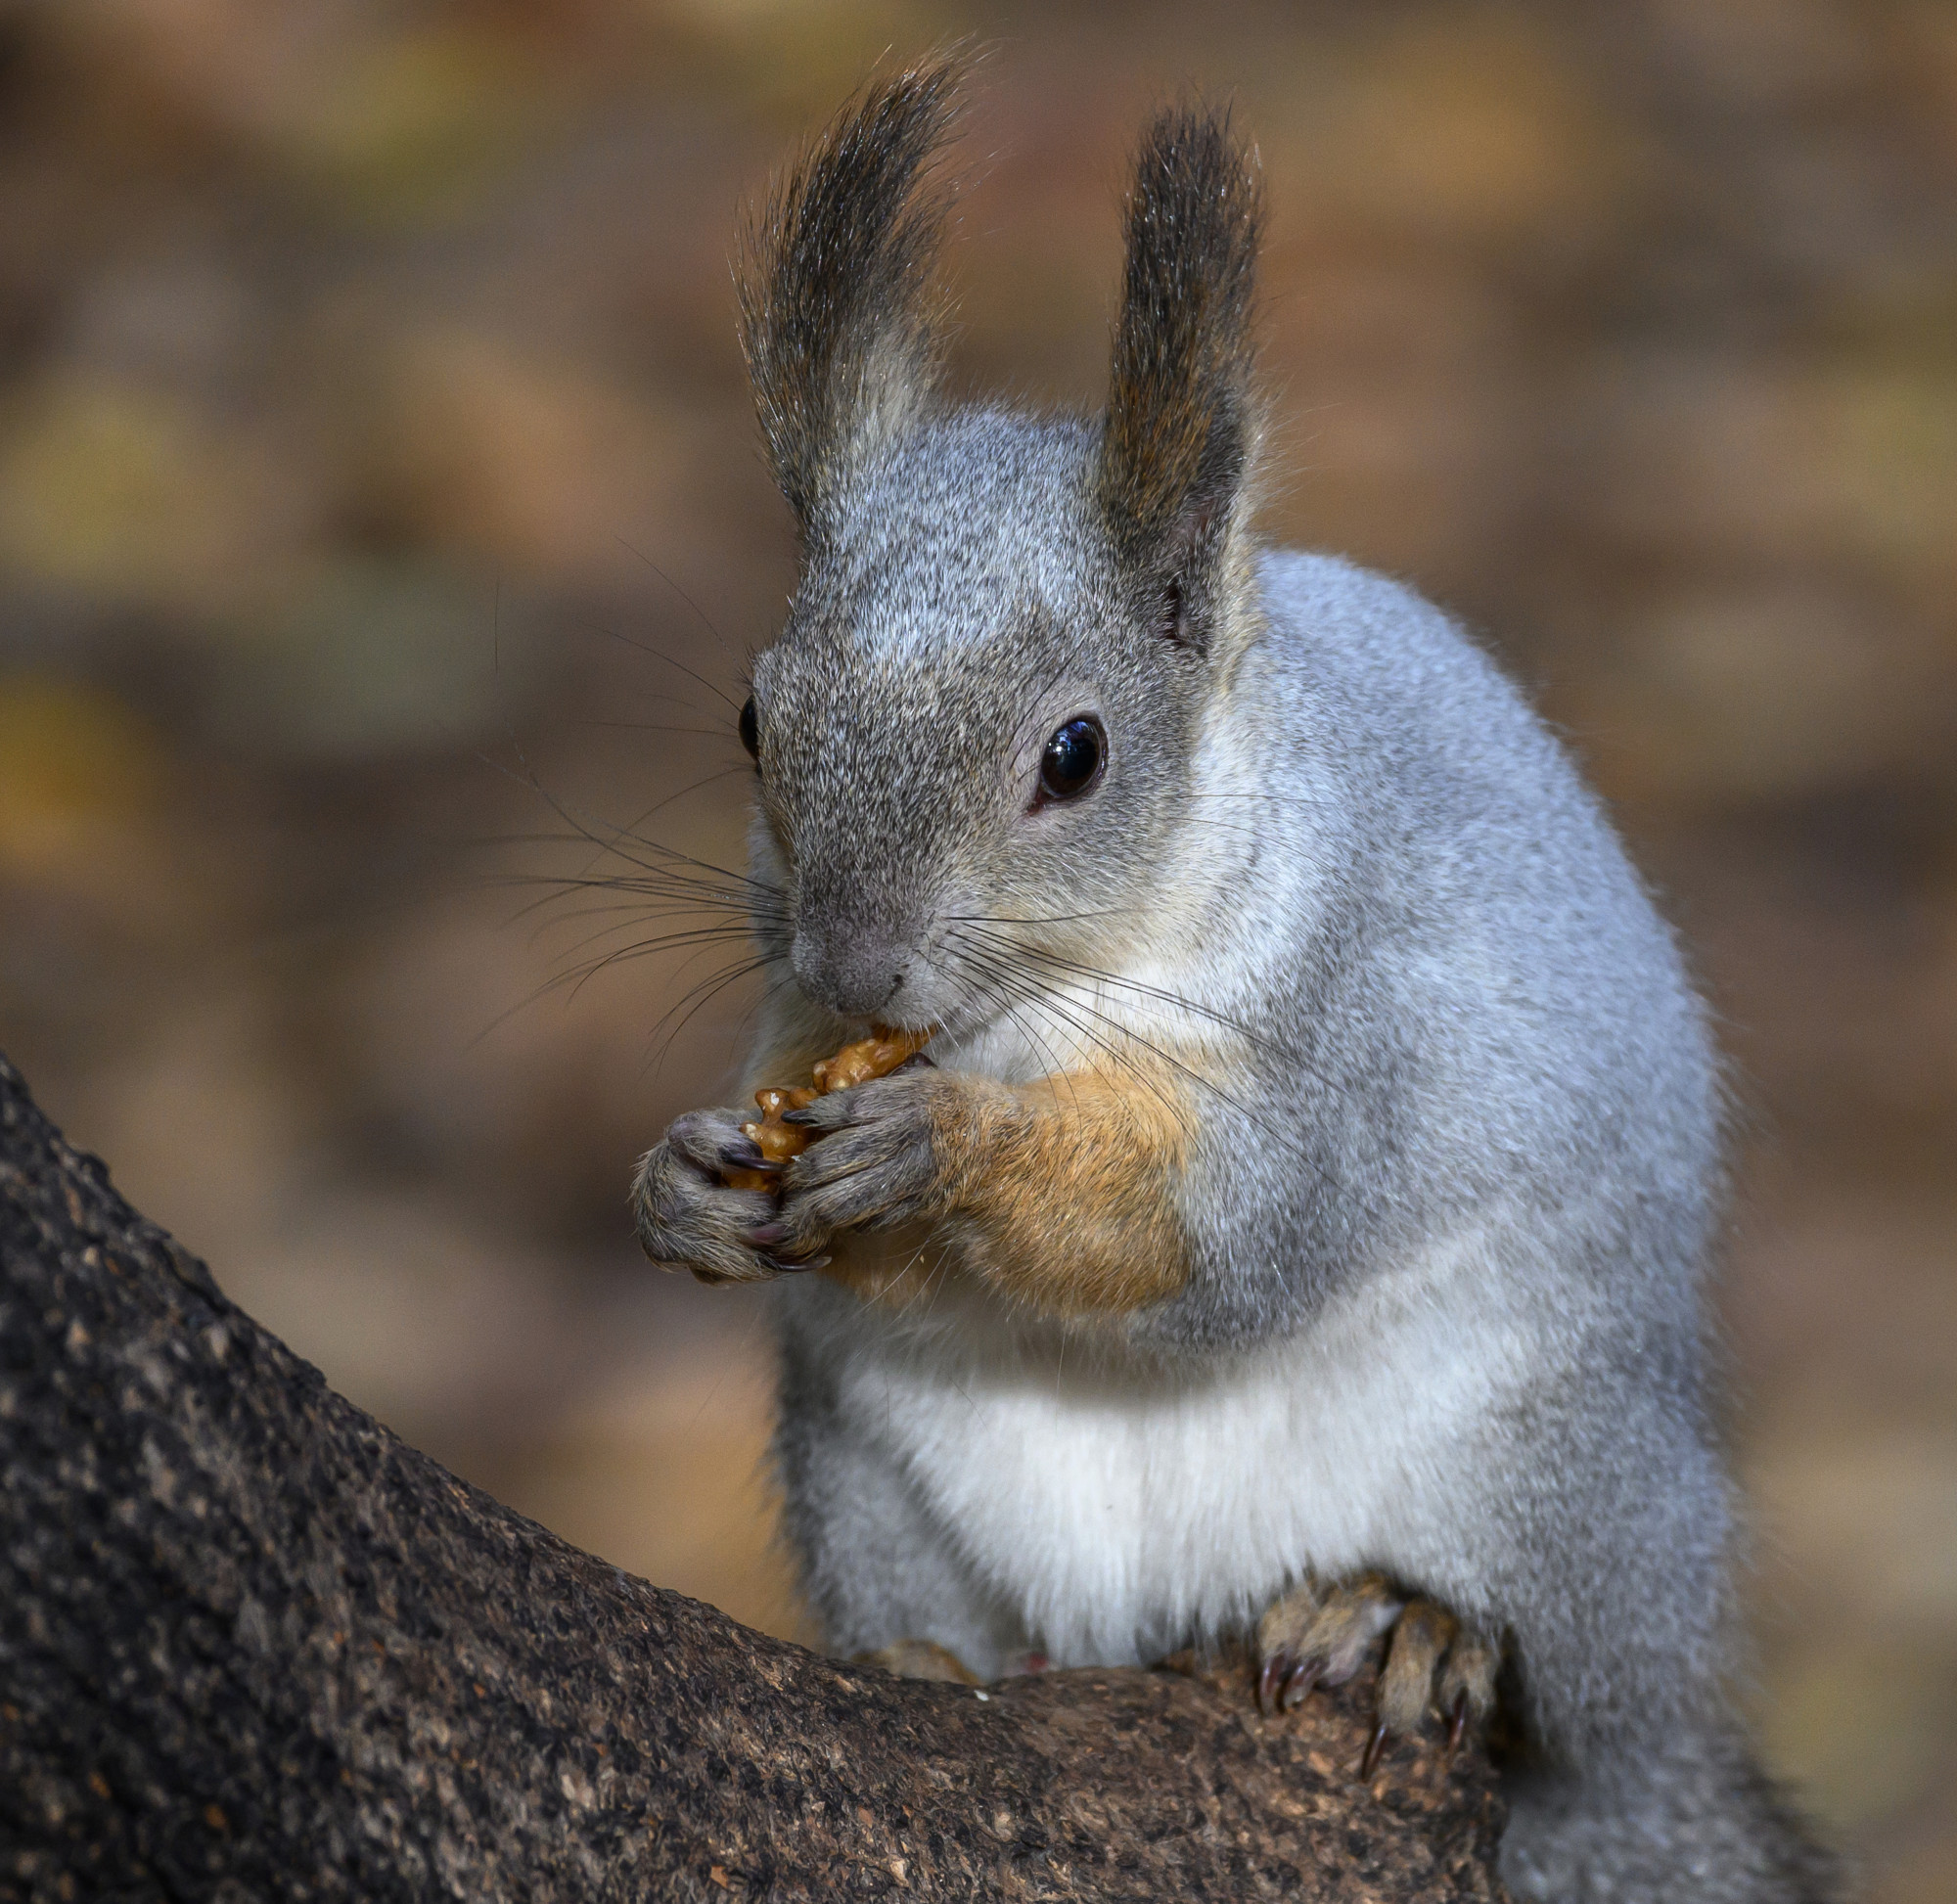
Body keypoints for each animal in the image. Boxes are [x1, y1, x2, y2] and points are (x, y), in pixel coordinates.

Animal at [634, 59, 1840, 1902]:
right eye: (757, 719)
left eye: (1074, 755)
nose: (856, 955)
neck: (1031, 1016)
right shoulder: (806, 1033)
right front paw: (684, 1178)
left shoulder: (1364, 1025)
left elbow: (1223, 1228)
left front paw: (942, 1148)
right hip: (864, 1473)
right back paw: (928, 1657)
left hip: (1558, 1475)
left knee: (1546, 1675)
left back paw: (1405, 1624)